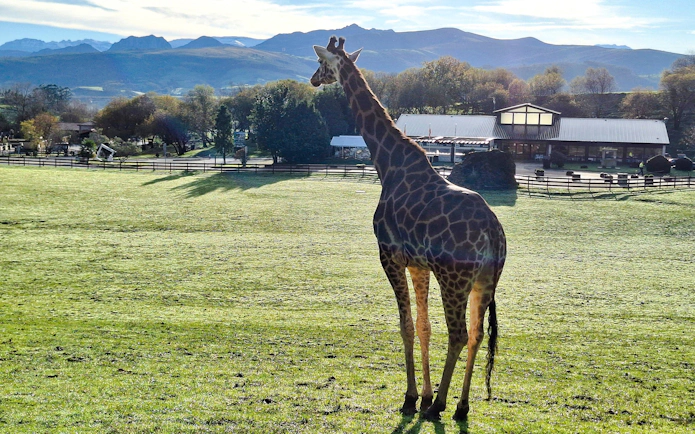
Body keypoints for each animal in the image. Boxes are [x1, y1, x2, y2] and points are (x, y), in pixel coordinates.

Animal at [311, 36, 507, 421]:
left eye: (322, 64)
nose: (312, 80)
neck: (386, 163)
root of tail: (494, 231)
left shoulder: (388, 254)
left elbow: (405, 326)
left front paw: (413, 398)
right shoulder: (418, 264)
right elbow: (424, 327)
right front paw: (426, 396)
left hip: (454, 278)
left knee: (458, 333)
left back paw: (443, 405)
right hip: (485, 279)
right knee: (476, 334)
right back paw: (461, 406)